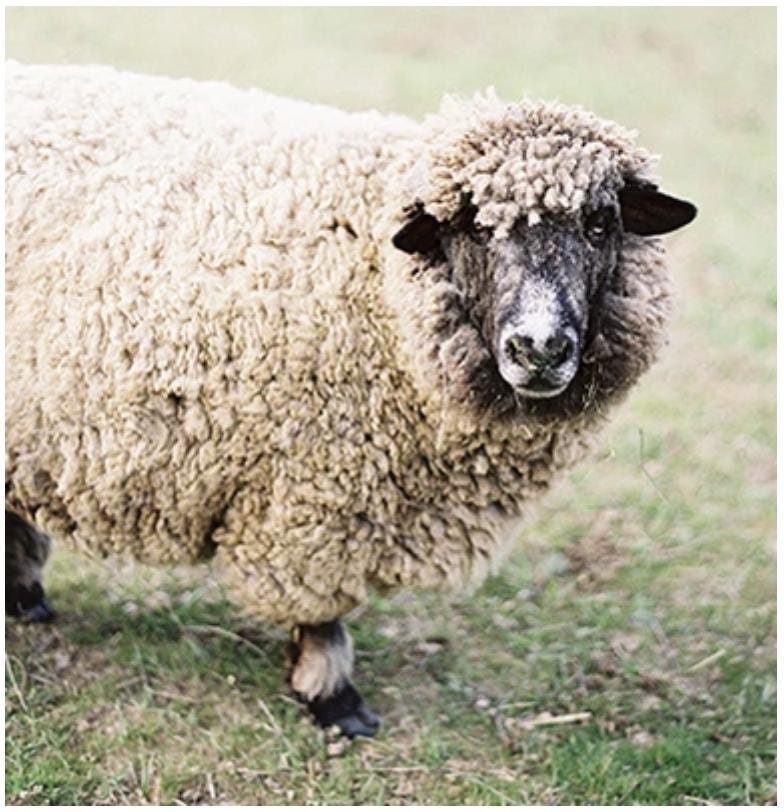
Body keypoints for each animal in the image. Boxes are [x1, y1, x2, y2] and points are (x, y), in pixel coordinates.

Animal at [5, 62, 696, 737]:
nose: (540, 346)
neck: (379, 286)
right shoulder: (315, 494)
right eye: (473, 227)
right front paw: (334, 700)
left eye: (600, 224)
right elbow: (322, 610)